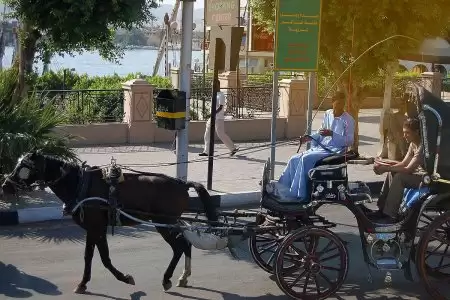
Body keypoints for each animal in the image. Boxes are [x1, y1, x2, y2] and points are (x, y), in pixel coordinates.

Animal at [0, 150, 218, 292]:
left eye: (24, 166)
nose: (5, 186)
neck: (80, 184)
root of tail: (182, 183)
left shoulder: (94, 227)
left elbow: (97, 257)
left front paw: (110, 280)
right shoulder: (97, 228)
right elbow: (97, 256)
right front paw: (95, 281)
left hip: (162, 223)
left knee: (179, 246)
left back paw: (167, 279)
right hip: (171, 222)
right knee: (186, 244)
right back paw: (184, 276)